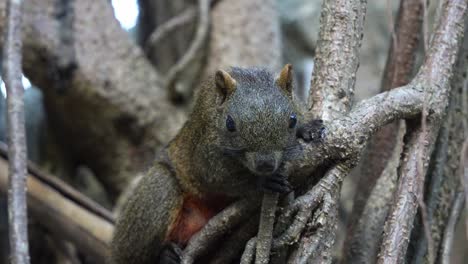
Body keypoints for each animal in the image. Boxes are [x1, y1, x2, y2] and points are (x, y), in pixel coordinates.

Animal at [110, 64, 322, 264]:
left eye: (292, 120)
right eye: (230, 124)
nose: (265, 165)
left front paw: (310, 128)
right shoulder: (204, 155)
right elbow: (218, 178)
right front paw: (264, 182)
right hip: (156, 197)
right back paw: (165, 256)